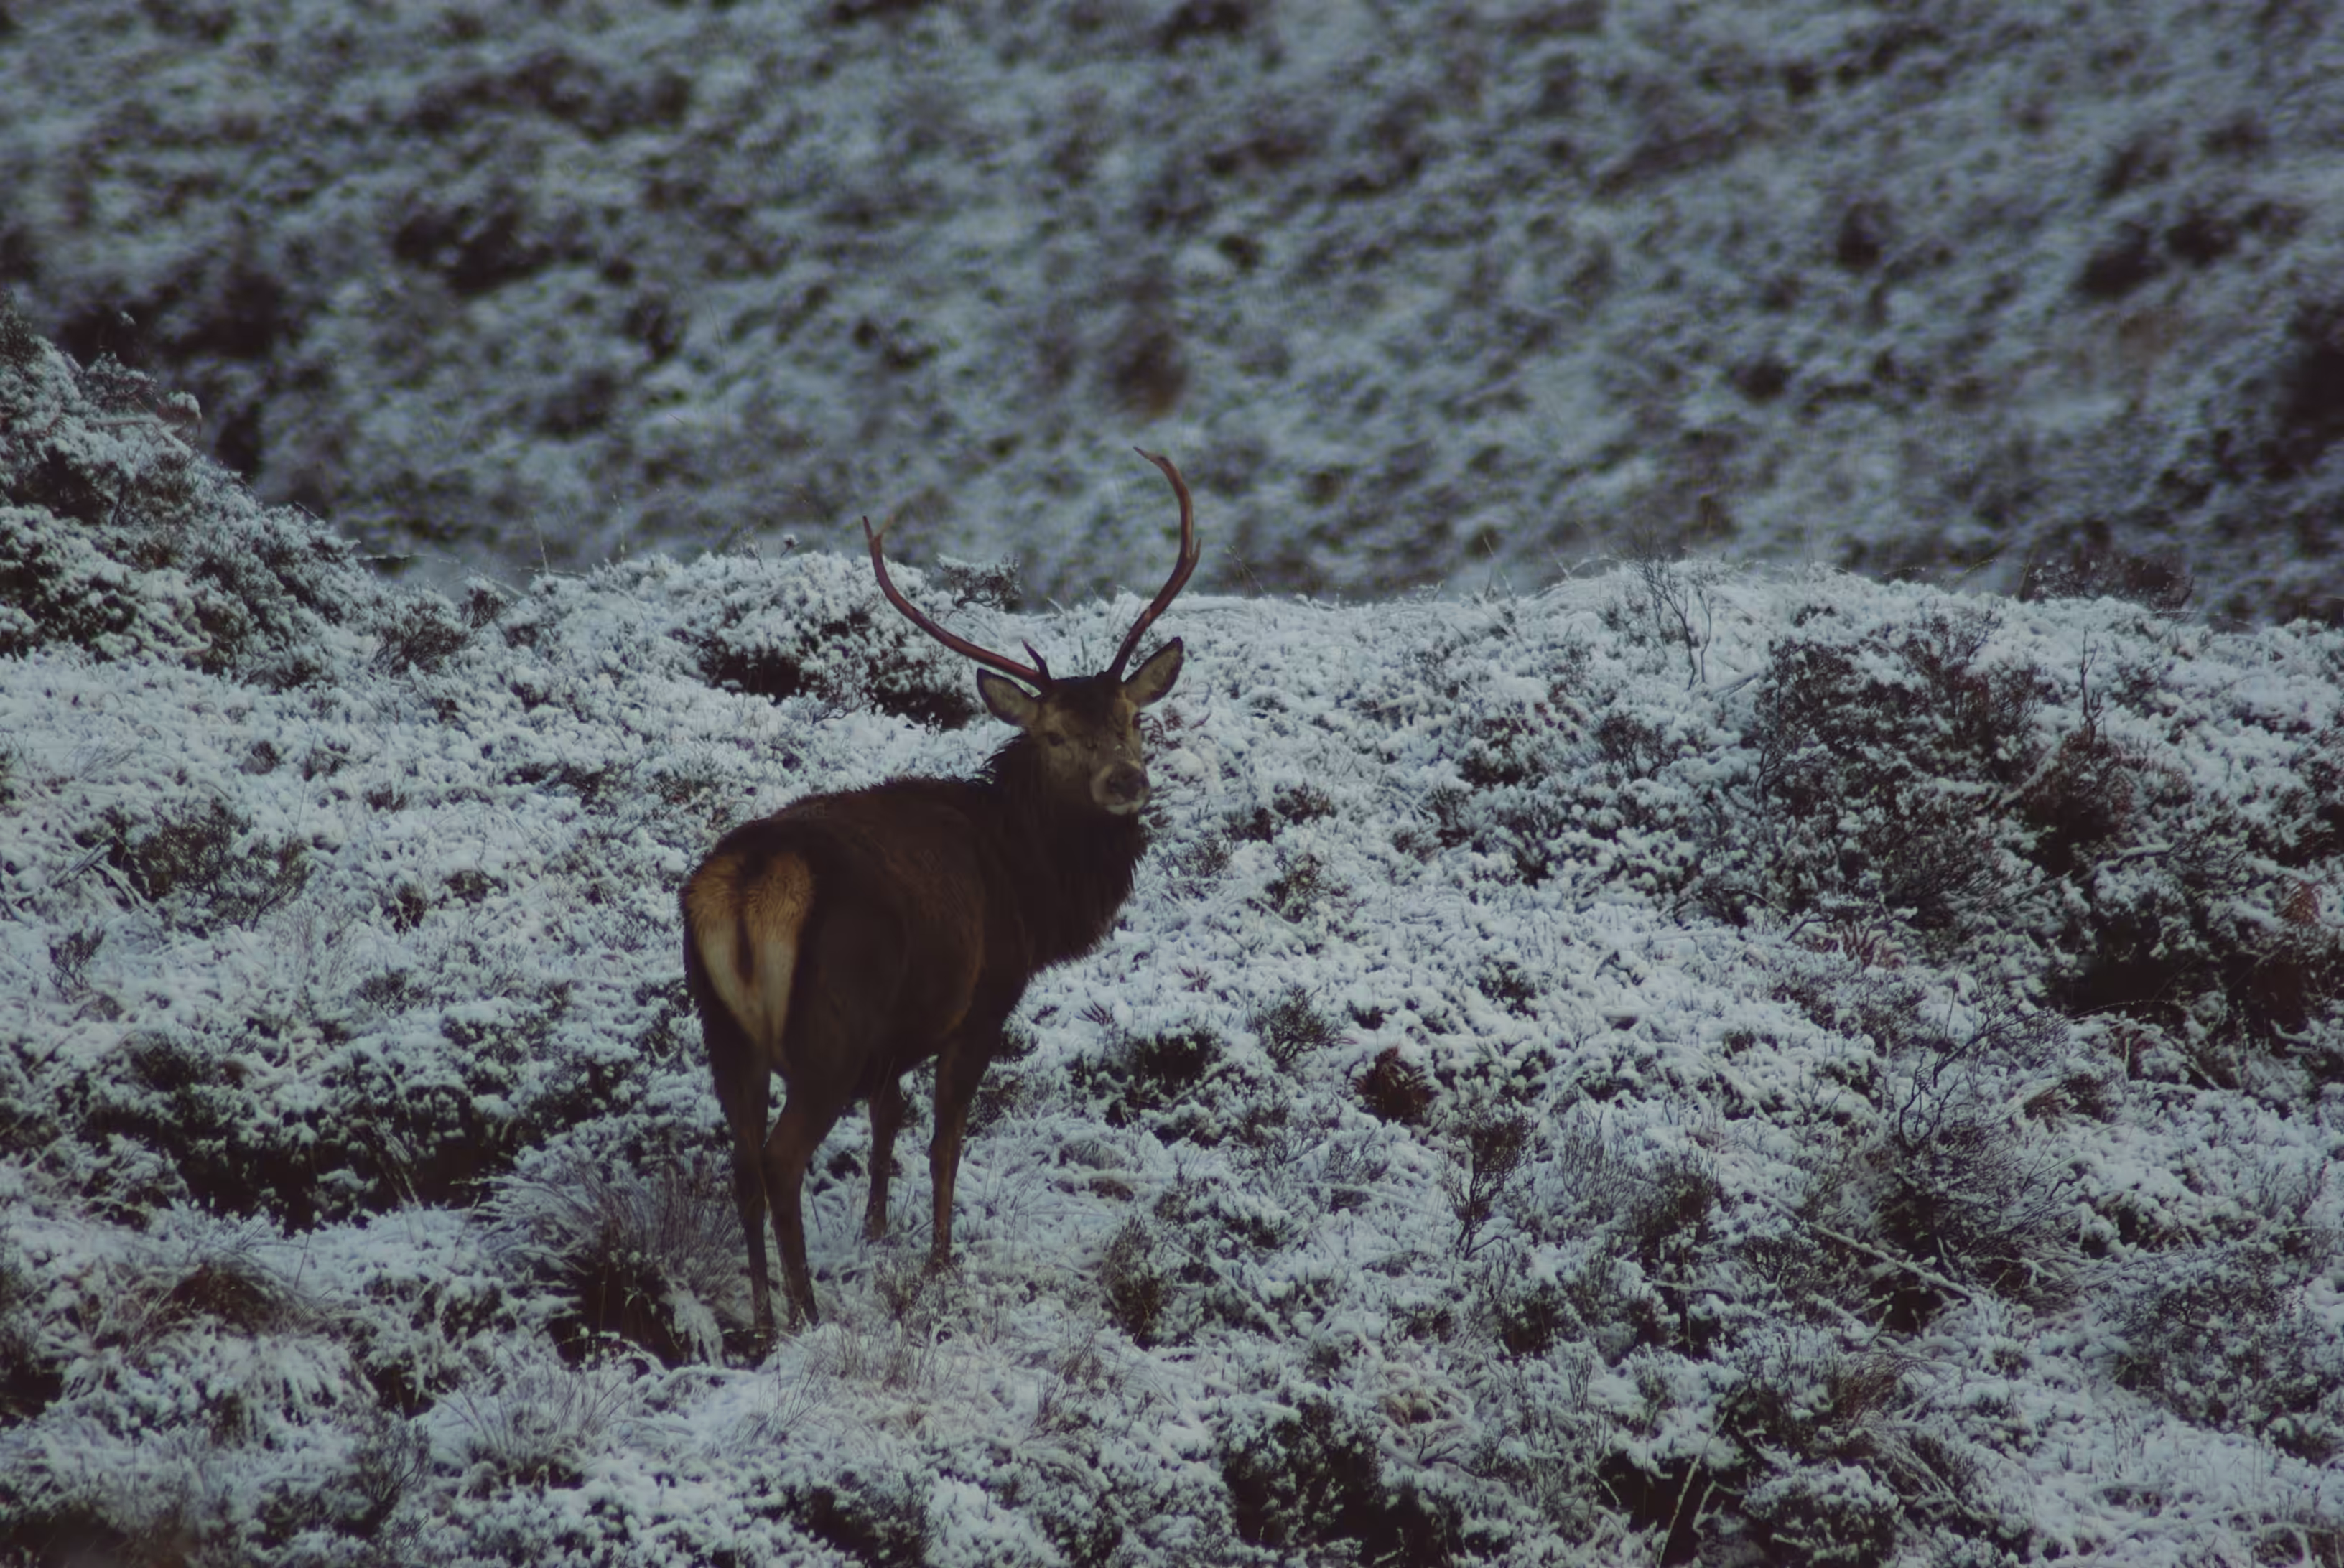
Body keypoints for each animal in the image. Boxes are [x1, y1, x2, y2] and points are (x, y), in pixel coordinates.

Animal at [680, 449, 1199, 1344]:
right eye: (1053, 734)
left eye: (1134, 718)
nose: (1125, 782)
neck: (1034, 886)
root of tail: (750, 881)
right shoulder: (983, 996)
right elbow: (944, 1138)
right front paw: (938, 1261)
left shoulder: (895, 1035)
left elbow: (888, 1122)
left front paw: (877, 1231)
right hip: (829, 1024)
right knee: (781, 1158)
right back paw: (808, 1313)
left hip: (724, 1028)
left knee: (741, 1159)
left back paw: (764, 1317)